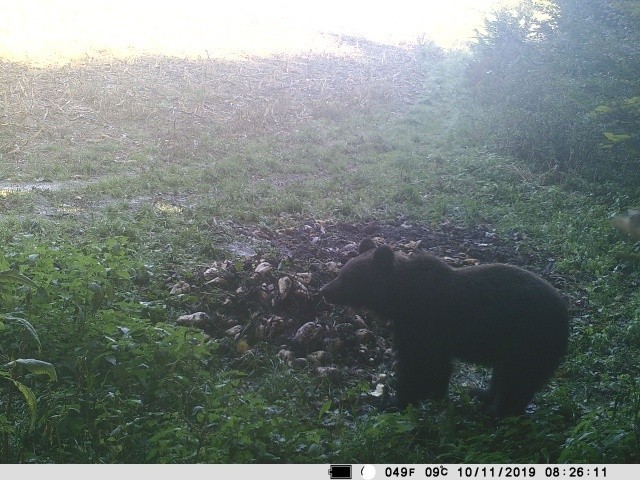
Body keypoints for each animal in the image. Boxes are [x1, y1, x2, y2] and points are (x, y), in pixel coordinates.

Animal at [320, 238, 568, 418]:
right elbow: (438, 366)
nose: (324, 290)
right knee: (503, 374)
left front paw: (395, 400)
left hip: (528, 337)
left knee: (516, 380)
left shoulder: (423, 323)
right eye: (342, 272)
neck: (400, 299)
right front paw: (436, 394)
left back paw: (496, 413)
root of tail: (565, 315)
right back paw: (481, 393)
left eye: (348, 277)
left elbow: (417, 364)